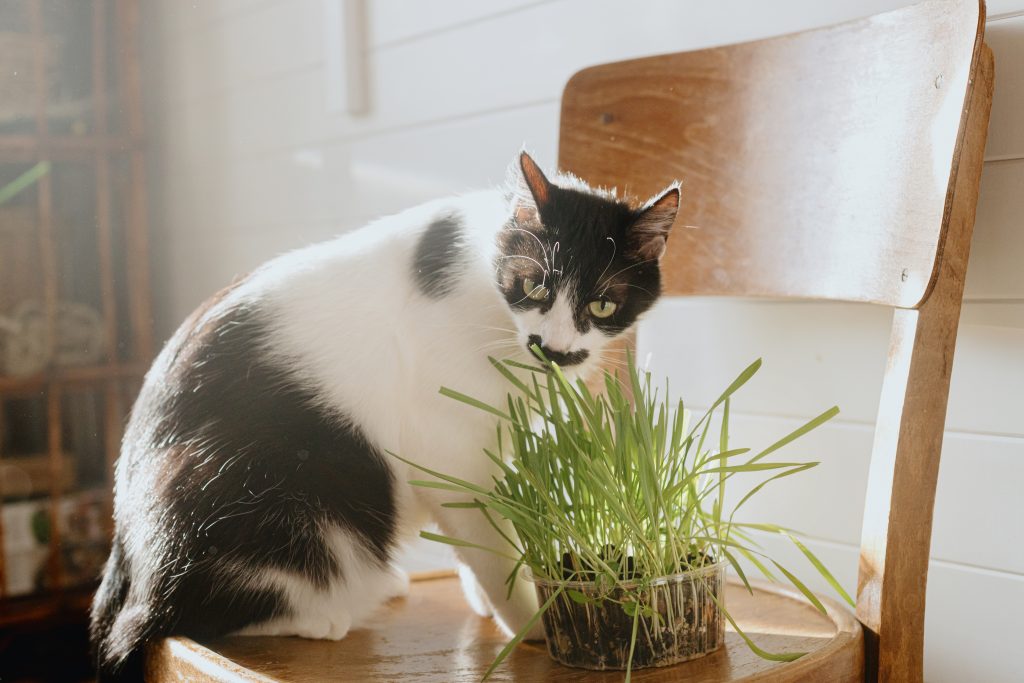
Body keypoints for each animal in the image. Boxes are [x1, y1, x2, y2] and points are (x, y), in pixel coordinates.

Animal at [90, 149, 679, 679]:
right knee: (168, 619)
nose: (553, 349)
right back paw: (325, 614)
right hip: (274, 490)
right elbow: (492, 543)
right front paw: (536, 620)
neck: (490, 300)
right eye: (534, 283)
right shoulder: (449, 449)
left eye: (603, 304)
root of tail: (128, 558)